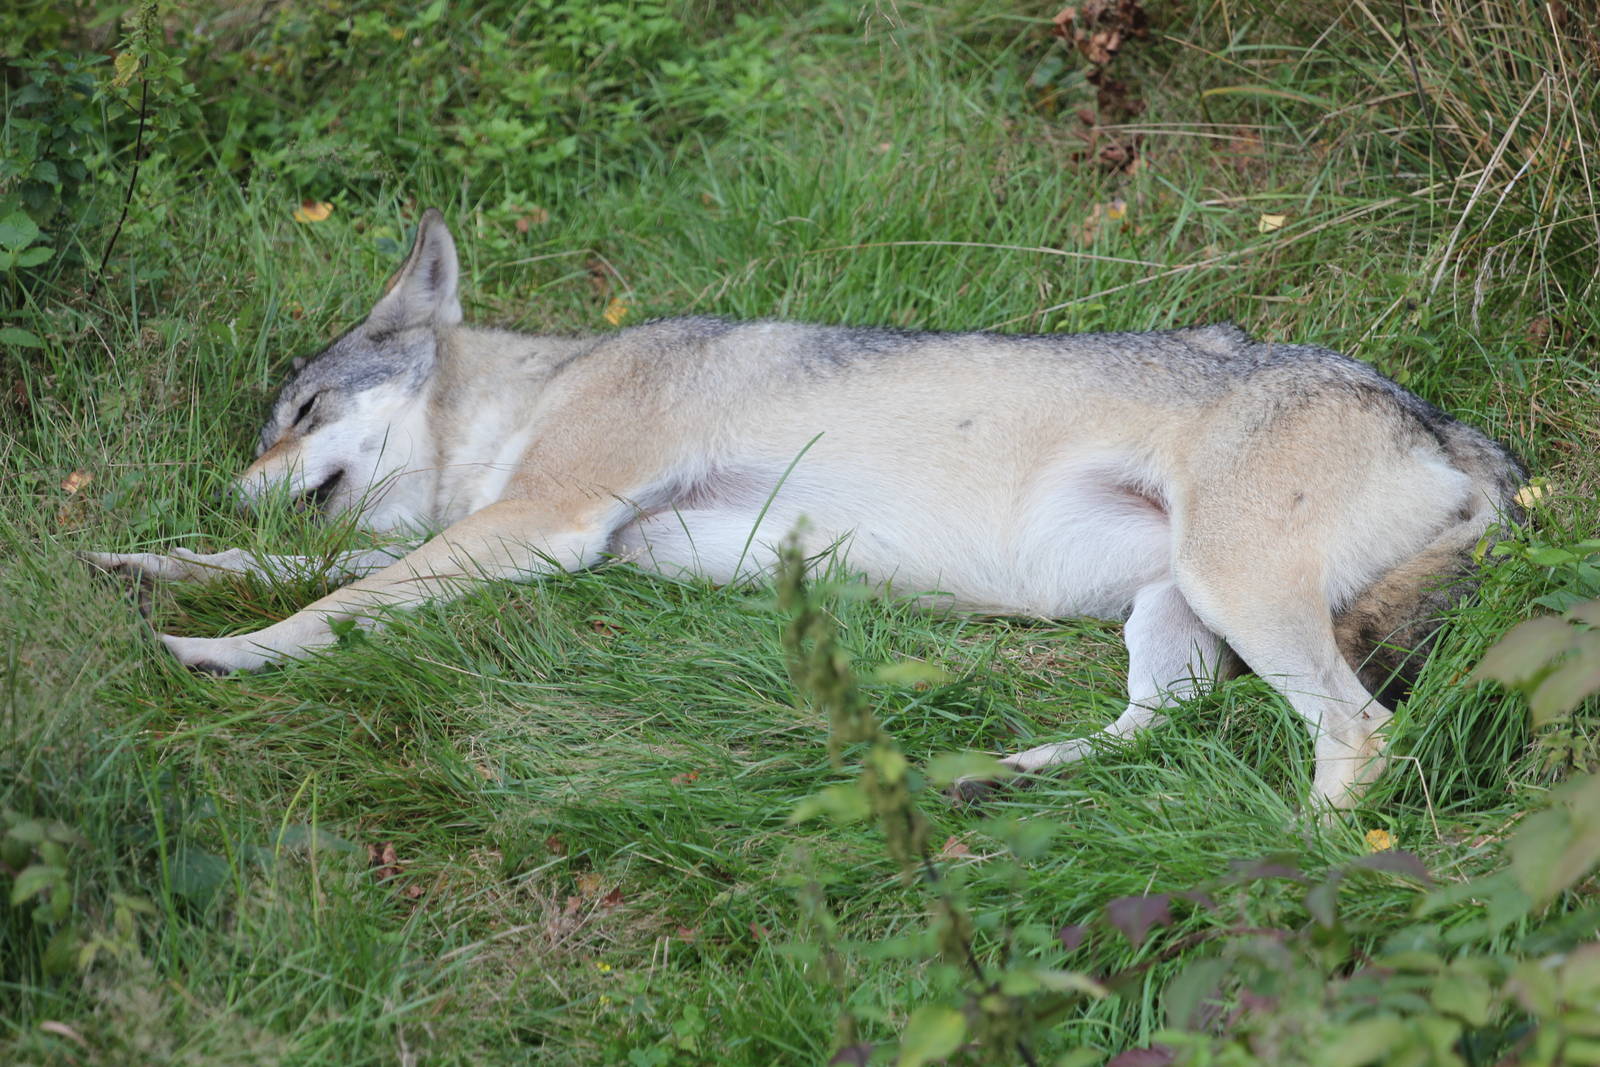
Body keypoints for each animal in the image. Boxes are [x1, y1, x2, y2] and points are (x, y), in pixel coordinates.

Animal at [85, 209, 1524, 810]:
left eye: (299, 413)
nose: (229, 474)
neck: (534, 391)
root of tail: (1451, 425)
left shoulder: (539, 524)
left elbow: (326, 604)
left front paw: (211, 650)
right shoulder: (510, 537)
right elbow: (281, 566)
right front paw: (152, 557)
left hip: (1236, 588)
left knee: (1357, 734)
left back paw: (1300, 861)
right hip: (1172, 610)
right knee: (1155, 724)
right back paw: (994, 774)